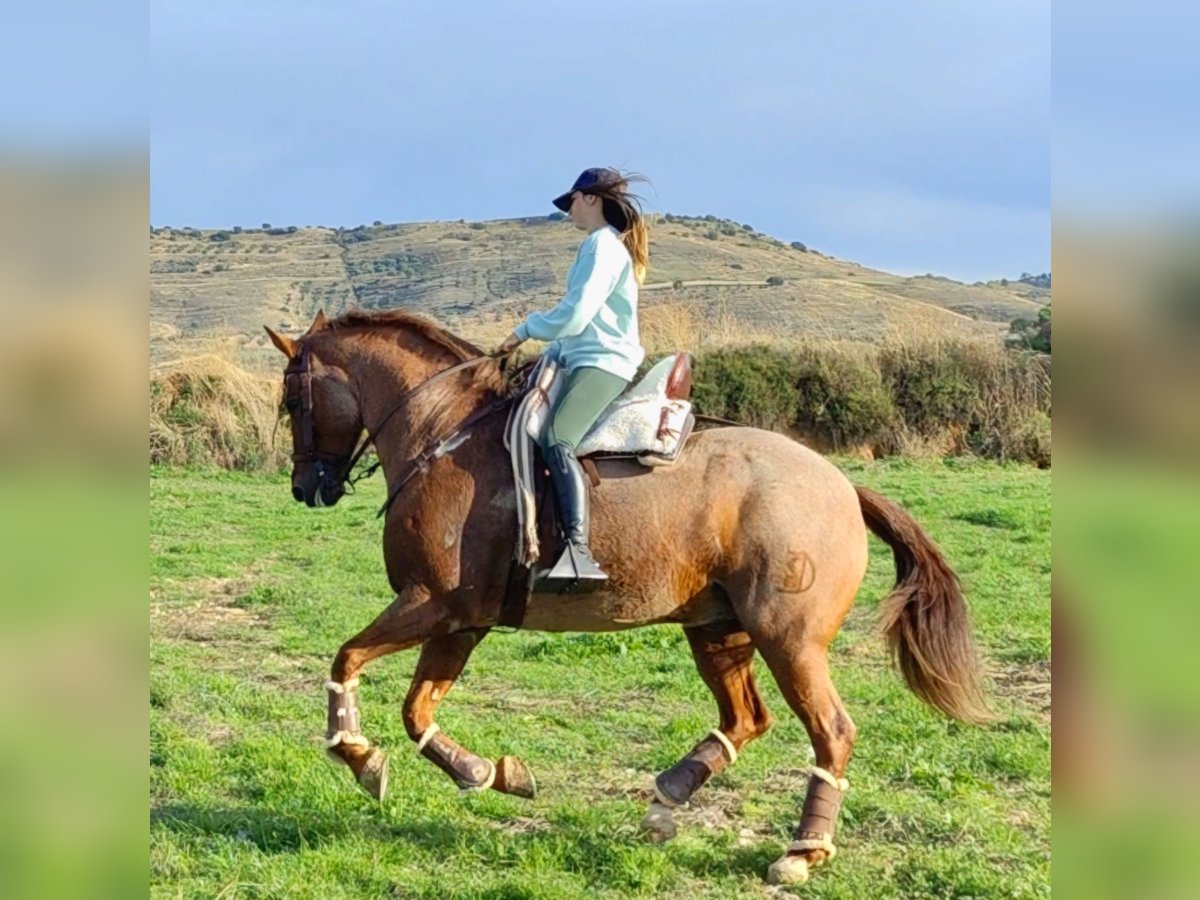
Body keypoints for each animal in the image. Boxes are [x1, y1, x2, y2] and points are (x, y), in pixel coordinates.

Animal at [267, 309, 988, 888]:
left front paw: (361, 759)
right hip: (718, 629)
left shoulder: (432, 605)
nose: (306, 488)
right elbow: (418, 712)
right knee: (744, 719)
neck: (441, 434)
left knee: (831, 732)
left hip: (790, 641)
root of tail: (841, 484)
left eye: (292, 401)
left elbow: (346, 661)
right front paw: (488, 772)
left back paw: (802, 851)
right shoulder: (462, 622)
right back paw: (668, 796)